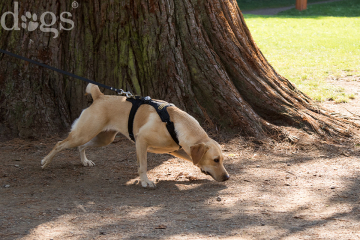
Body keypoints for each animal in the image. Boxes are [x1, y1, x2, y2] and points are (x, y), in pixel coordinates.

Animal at [40, 84, 229, 188]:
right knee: (59, 144)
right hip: (84, 133)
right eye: (215, 160)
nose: (227, 177)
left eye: (222, 160)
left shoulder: (176, 150)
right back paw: (45, 162)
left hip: (103, 138)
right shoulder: (141, 141)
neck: (175, 123)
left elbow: (192, 159)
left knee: (81, 147)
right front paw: (145, 181)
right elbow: (143, 165)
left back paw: (84, 161)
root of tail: (100, 96)